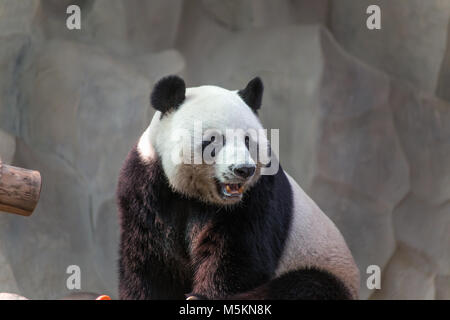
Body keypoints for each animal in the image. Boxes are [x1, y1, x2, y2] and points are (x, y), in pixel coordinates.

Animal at [118, 75, 360, 300]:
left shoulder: (258, 194)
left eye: (247, 140)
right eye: (213, 140)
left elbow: (239, 255)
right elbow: (150, 257)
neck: (196, 195)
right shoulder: (148, 185)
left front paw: (202, 296)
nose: (244, 169)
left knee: (308, 286)